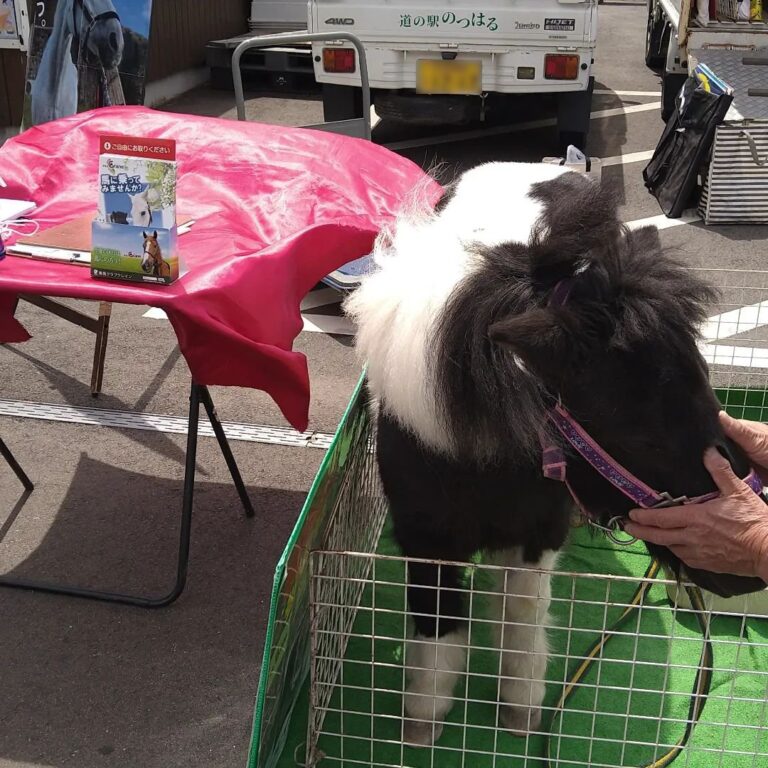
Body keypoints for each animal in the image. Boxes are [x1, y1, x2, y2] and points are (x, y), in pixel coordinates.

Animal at [345, 161, 768, 747]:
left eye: (705, 384)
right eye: (639, 431)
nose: (746, 578)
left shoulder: (538, 532)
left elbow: (524, 613)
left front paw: (520, 711)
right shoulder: (425, 540)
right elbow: (438, 624)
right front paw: (422, 722)